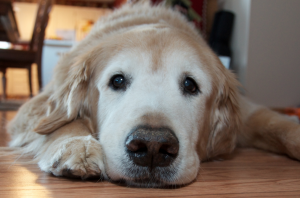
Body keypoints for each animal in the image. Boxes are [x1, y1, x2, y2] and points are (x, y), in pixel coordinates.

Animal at [6, 1, 300, 187]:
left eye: (191, 85)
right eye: (117, 80)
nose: (152, 147)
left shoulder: (247, 112)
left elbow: (277, 124)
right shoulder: (36, 105)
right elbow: (65, 121)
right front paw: (77, 145)